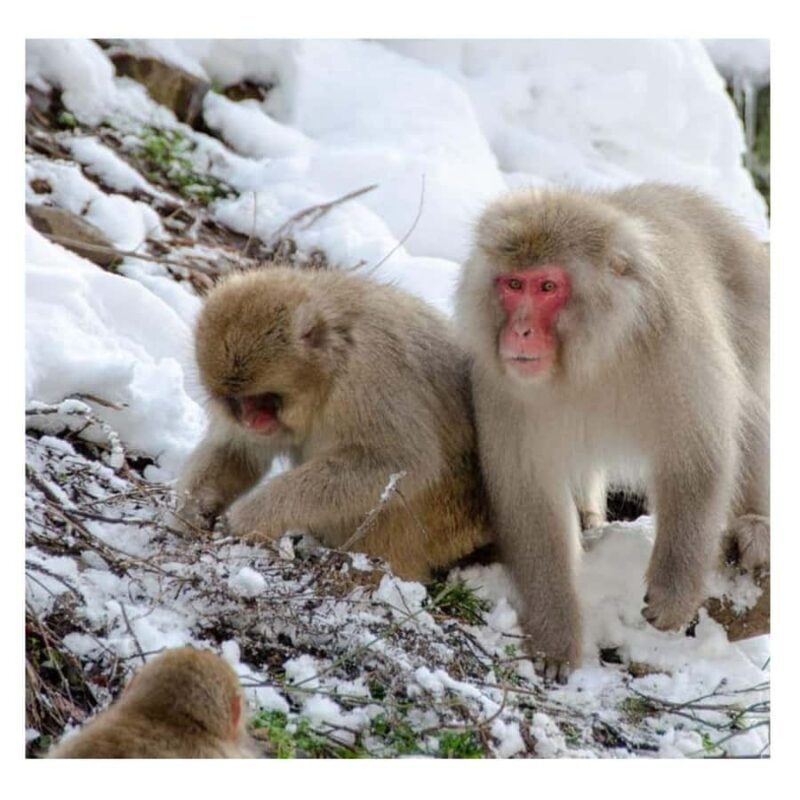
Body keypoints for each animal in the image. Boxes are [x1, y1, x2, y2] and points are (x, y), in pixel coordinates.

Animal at [175, 266, 491, 582]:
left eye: (264, 399)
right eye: (237, 401)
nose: (252, 420)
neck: (332, 366)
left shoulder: (371, 372)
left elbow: (399, 461)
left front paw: (252, 513)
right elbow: (239, 451)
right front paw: (192, 507)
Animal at [455, 183, 769, 683]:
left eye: (547, 287)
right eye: (512, 284)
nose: (519, 331)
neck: (595, 356)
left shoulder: (677, 346)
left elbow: (697, 457)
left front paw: (674, 589)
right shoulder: (501, 385)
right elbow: (532, 500)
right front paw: (555, 637)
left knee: (750, 401)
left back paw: (756, 524)